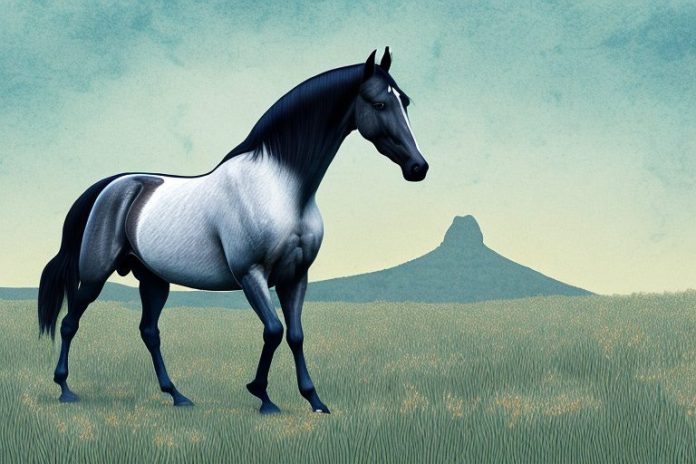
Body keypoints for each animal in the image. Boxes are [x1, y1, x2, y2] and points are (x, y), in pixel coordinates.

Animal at [38, 48, 429, 414]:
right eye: (379, 103)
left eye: (406, 101)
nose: (418, 167)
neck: (280, 187)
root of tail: (112, 187)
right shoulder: (250, 273)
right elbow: (274, 330)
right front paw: (262, 395)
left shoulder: (295, 276)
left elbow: (296, 335)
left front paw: (315, 400)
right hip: (94, 275)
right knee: (70, 322)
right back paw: (65, 389)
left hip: (153, 280)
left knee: (149, 332)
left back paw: (177, 395)